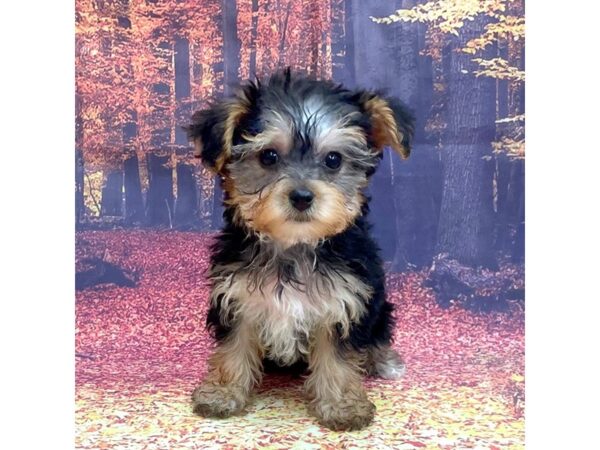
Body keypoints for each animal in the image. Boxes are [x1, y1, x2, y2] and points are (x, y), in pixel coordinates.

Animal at [186, 68, 412, 430]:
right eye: (268, 156)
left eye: (333, 160)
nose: (302, 196)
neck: (294, 245)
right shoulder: (237, 298)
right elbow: (234, 348)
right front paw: (222, 392)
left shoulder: (343, 302)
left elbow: (338, 359)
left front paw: (343, 406)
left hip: (378, 303)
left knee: (378, 331)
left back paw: (384, 360)